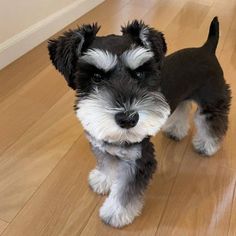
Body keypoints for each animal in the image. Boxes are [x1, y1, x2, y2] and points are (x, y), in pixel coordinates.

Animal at [48, 17, 230, 228]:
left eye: (140, 74)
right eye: (96, 77)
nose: (128, 119)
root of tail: (207, 49)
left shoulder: (138, 159)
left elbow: (125, 190)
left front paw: (115, 213)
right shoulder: (101, 144)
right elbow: (106, 162)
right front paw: (103, 179)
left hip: (212, 101)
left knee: (212, 122)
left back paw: (207, 145)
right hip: (183, 96)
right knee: (183, 106)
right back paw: (175, 129)